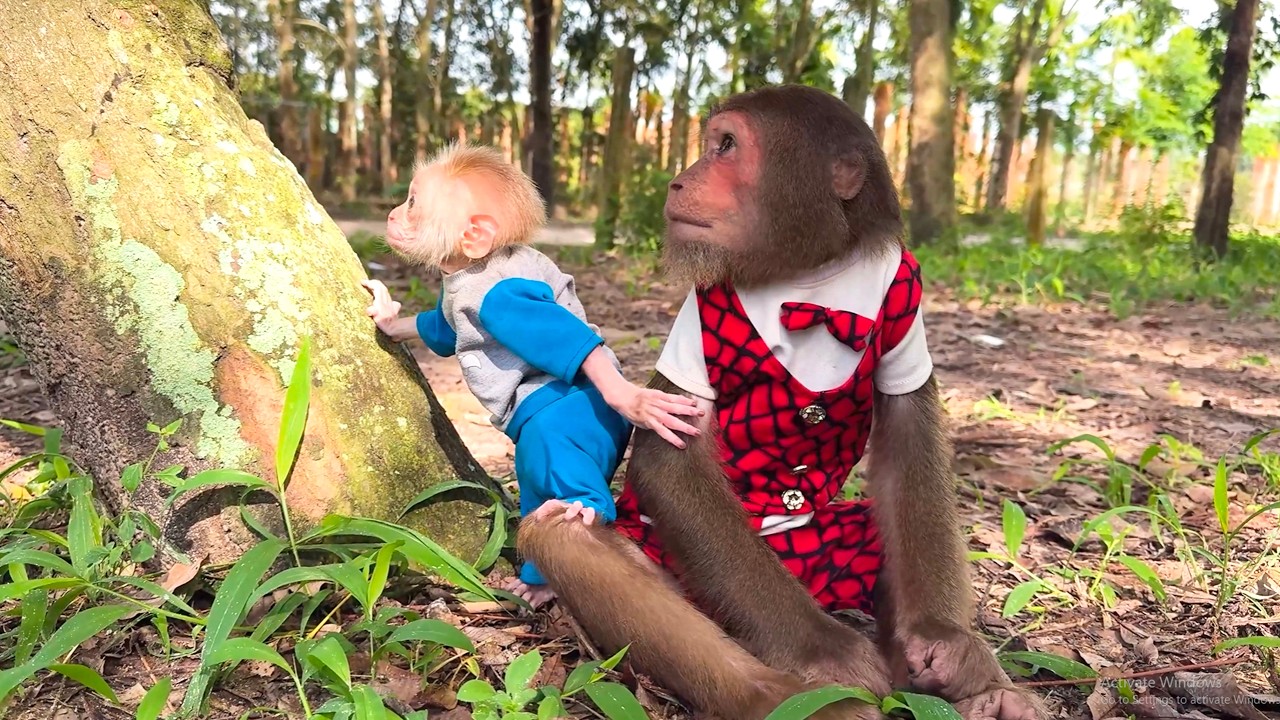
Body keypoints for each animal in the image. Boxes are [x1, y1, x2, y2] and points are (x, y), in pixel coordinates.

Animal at [361, 142, 703, 608]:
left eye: (413, 202)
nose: (394, 214)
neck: (472, 267)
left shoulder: (502, 296)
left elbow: (566, 339)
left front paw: (633, 399)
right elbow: (441, 329)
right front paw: (389, 317)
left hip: (569, 417)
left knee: (555, 452)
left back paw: (586, 504)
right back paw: (538, 583)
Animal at [517, 85, 1046, 720]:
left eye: (725, 146)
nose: (678, 180)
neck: (808, 279)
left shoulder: (906, 294)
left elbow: (909, 446)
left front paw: (942, 639)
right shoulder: (697, 311)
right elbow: (670, 459)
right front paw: (826, 651)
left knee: (878, 529)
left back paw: (987, 689)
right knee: (564, 538)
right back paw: (791, 698)